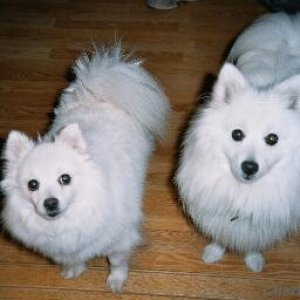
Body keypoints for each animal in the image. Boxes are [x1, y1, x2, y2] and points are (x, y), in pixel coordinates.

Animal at [1, 45, 171, 292]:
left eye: (65, 178)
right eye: (33, 185)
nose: (50, 203)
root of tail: (96, 97)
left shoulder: (119, 240)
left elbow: (117, 262)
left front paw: (116, 281)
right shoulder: (67, 247)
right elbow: (74, 259)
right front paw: (74, 270)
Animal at [175, 12, 300, 272]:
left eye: (272, 139)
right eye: (237, 134)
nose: (249, 167)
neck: (244, 193)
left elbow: (254, 243)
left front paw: (254, 260)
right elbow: (220, 236)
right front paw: (214, 252)